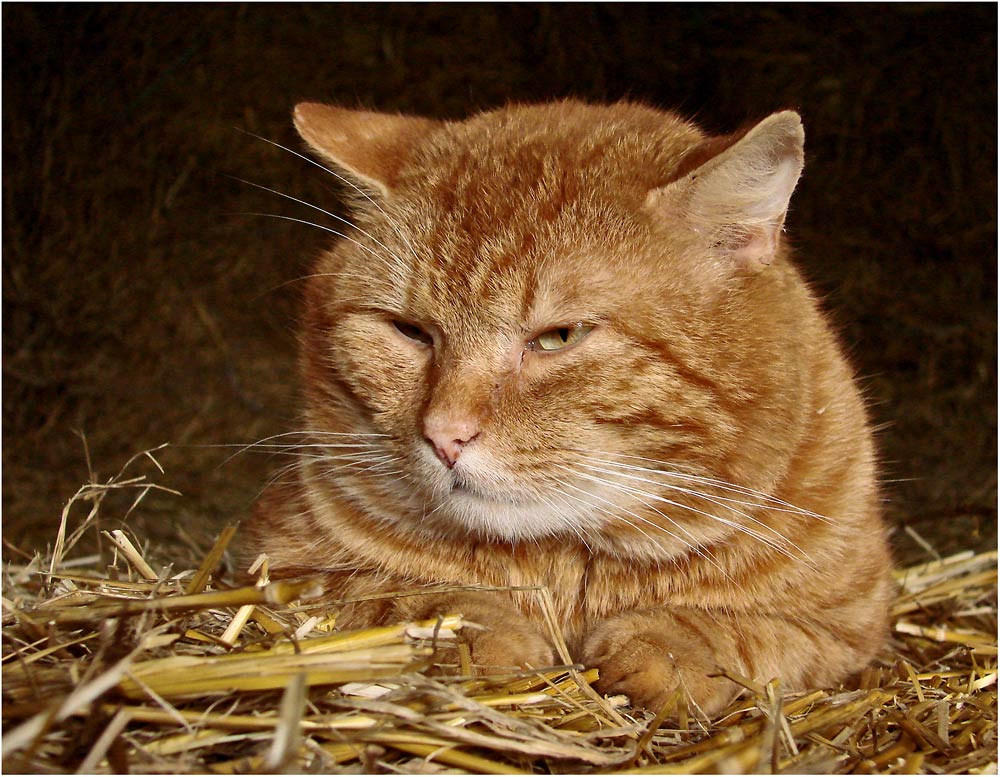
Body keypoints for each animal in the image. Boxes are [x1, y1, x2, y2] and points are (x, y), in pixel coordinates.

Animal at [246, 100, 896, 712]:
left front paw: (670, 646)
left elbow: (748, 635)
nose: (445, 436)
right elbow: (389, 595)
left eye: (558, 338)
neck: (565, 567)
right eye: (411, 332)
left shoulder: (851, 623)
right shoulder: (280, 566)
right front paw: (467, 629)